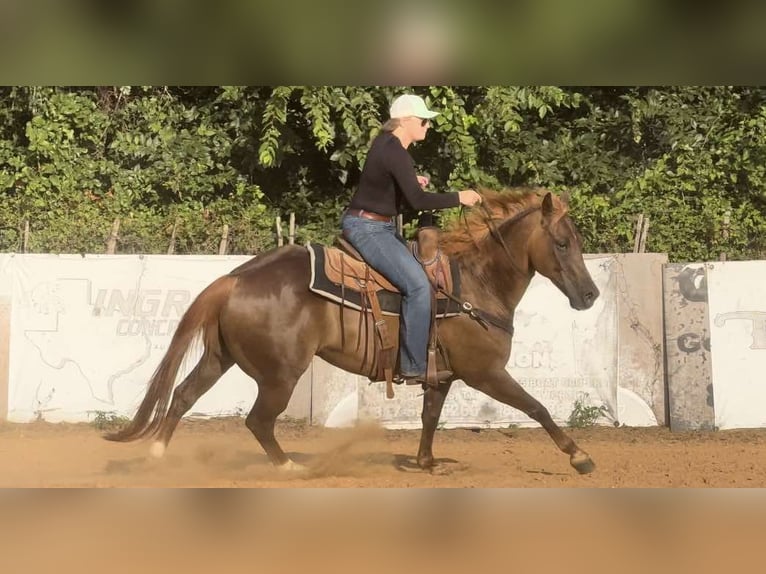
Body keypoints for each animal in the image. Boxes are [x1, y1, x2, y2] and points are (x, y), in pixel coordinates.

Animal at [105, 187, 601, 474]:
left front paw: (425, 462)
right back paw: (288, 467)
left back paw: (157, 458)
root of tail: (236, 277)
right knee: (257, 420)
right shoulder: (486, 373)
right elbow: (536, 407)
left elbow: (430, 417)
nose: (591, 295)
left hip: (219, 357)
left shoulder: (442, 376)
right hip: (281, 375)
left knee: (183, 396)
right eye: (562, 243)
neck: (477, 284)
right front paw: (579, 456)